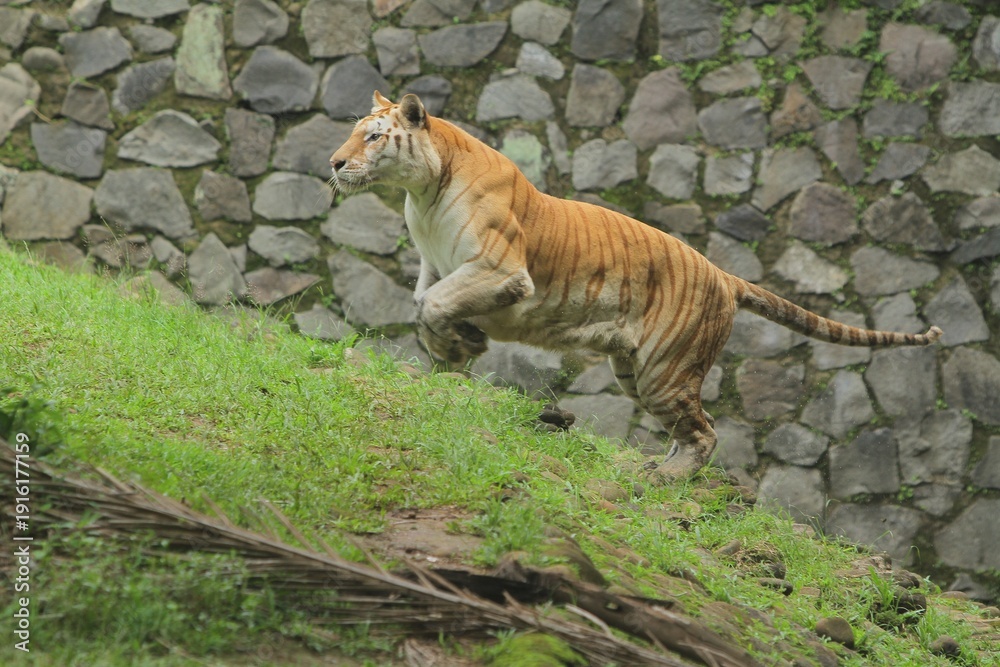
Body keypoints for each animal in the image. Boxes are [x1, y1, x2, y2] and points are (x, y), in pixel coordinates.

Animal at [329, 91, 943, 482]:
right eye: (351, 133)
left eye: (374, 135)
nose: (334, 163)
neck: (423, 195)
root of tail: (722, 273)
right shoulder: (437, 266)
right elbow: (425, 304)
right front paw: (454, 356)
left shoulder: (501, 270)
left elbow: (435, 305)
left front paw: (459, 349)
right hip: (639, 372)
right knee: (690, 426)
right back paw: (660, 467)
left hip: (665, 370)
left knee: (705, 432)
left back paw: (664, 479)